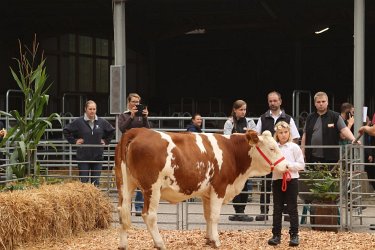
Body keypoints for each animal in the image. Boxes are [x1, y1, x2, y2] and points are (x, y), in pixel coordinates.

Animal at [114, 128, 288, 249]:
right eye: (272, 148)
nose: (286, 166)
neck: (231, 151)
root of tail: (138, 131)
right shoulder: (219, 187)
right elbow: (215, 216)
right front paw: (216, 241)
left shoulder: (207, 193)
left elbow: (208, 216)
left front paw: (209, 239)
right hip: (152, 188)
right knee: (149, 215)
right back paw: (160, 243)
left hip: (125, 185)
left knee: (122, 211)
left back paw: (123, 245)